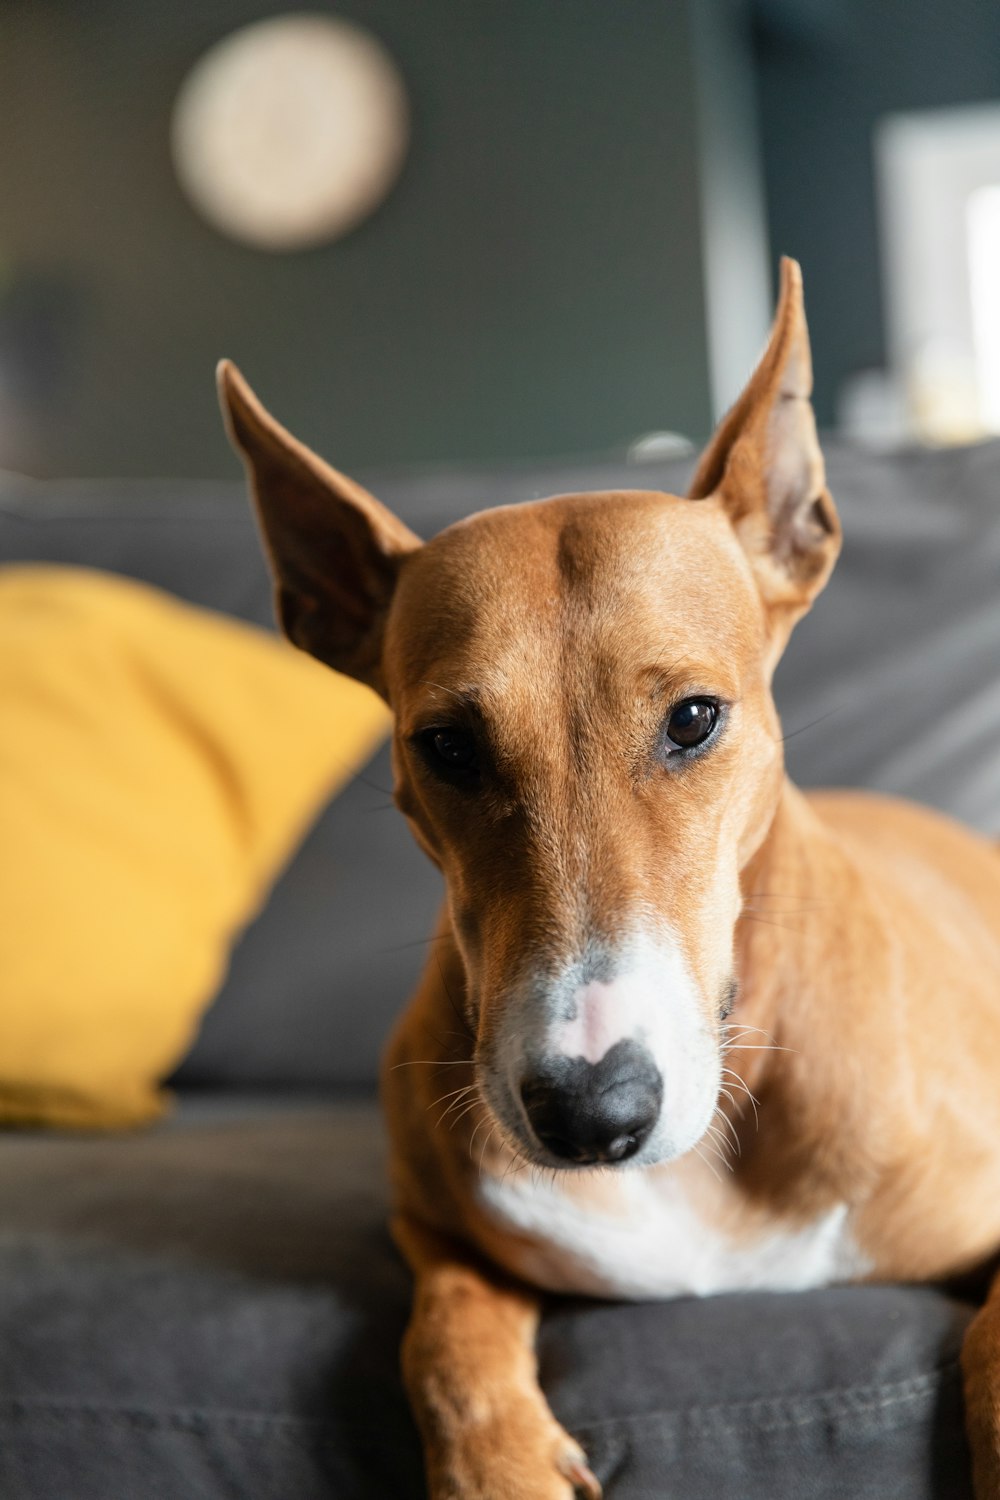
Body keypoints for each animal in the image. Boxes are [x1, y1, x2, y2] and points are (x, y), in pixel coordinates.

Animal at [218, 261, 1000, 1500]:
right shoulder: (431, 1229)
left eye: (693, 719)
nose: (591, 1114)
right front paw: (499, 1463)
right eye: (448, 747)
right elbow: (444, 1332)